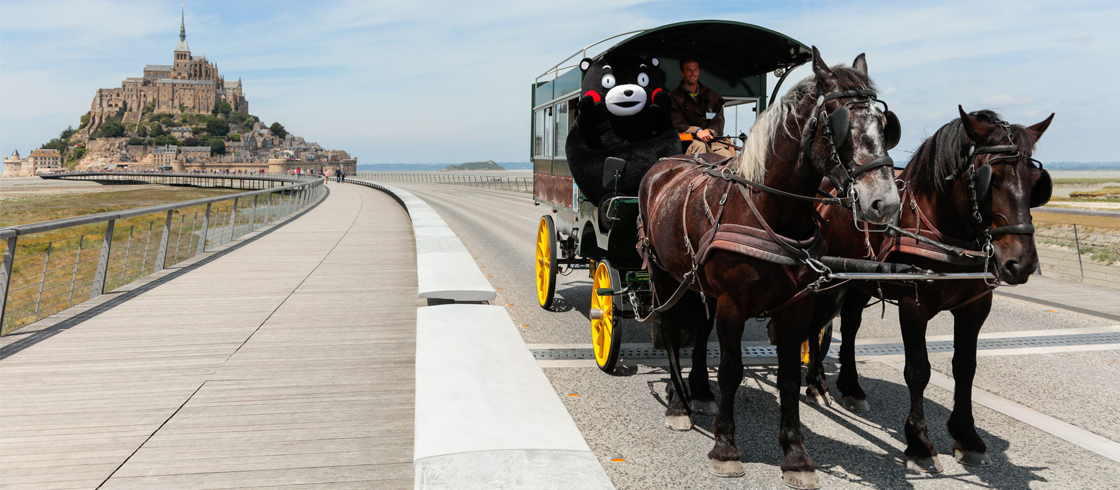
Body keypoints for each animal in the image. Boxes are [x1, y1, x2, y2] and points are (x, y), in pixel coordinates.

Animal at [640, 47, 900, 487]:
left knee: (697, 331)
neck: (768, 211)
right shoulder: (732, 304)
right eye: (839, 125)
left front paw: (795, 455)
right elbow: (731, 369)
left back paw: (699, 393)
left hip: (695, 281)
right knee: (672, 331)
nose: (885, 203)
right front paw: (726, 447)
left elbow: (790, 376)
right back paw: (677, 404)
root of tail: (664, 165)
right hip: (662, 273)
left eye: (885, 125)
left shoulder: (794, 306)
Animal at [806, 106, 1048, 469]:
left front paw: (967, 435)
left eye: (1036, 183)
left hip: (858, 280)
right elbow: (918, 370)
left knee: (849, 325)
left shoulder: (975, 308)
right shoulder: (913, 305)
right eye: (992, 178)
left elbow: (965, 368)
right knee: (814, 324)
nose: (1022, 263)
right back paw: (816, 382)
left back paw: (851, 387)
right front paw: (919, 441)